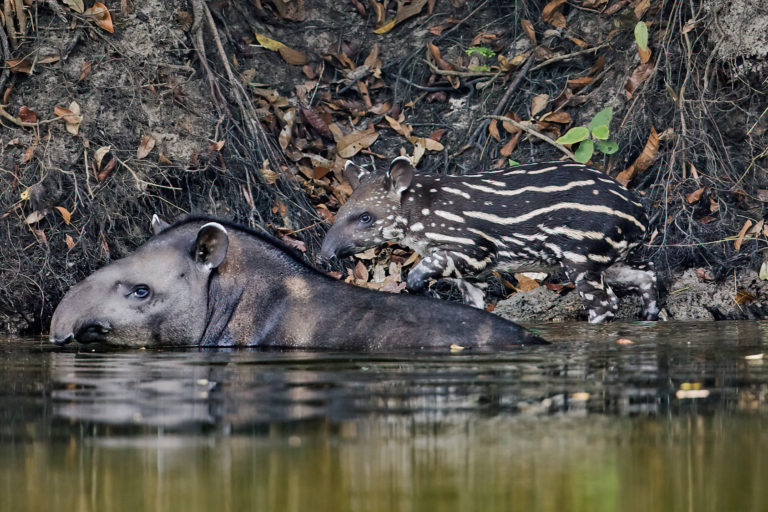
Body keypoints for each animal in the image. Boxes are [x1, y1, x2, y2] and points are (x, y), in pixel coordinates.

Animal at [318, 158, 660, 322]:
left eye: (365, 217)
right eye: (341, 210)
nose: (325, 253)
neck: (420, 211)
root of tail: (641, 213)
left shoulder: (473, 250)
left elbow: (424, 270)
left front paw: (419, 287)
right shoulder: (470, 273)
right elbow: (475, 304)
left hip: (581, 254)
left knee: (605, 303)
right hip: (606, 256)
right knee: (645, 274)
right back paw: (649, 316)